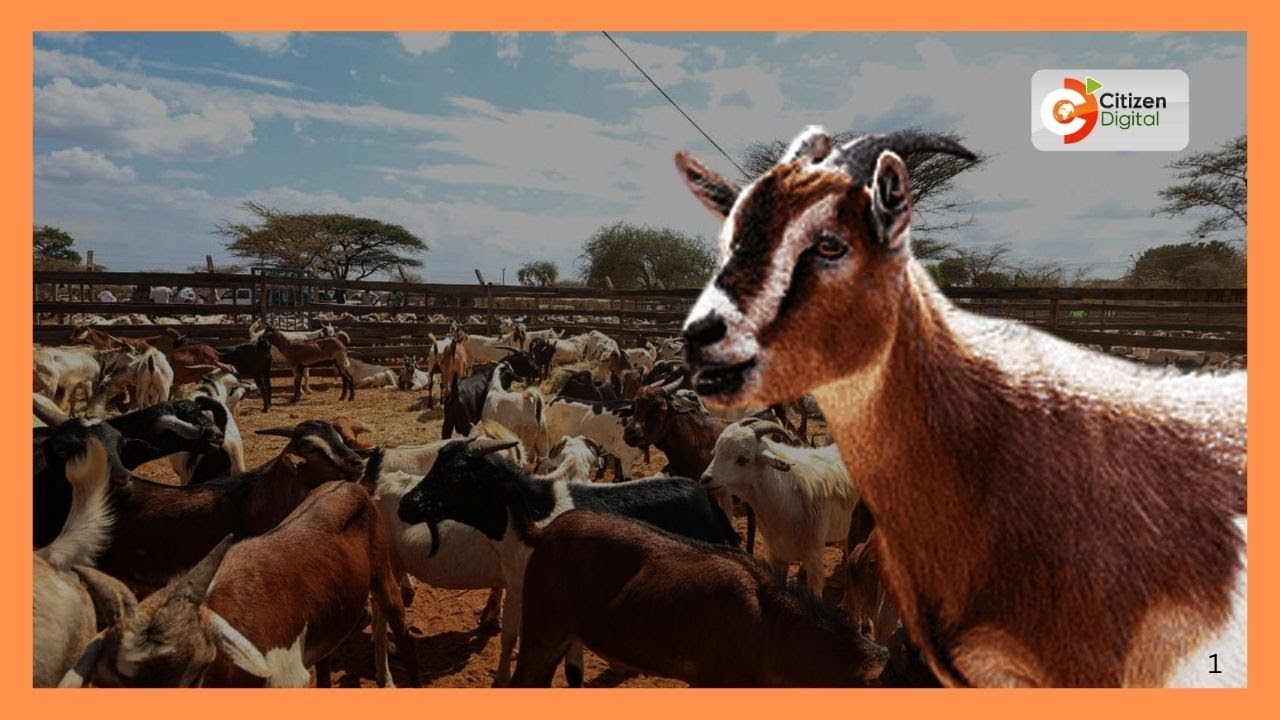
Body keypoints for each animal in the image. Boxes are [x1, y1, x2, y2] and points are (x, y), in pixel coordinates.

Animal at [397, 437, 739, 686]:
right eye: (435, 465)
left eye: (457, 474)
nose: (406, 505)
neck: (534, 513)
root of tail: (709, 503)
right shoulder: (519, 587)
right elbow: (509, 637)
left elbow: (571, 669)